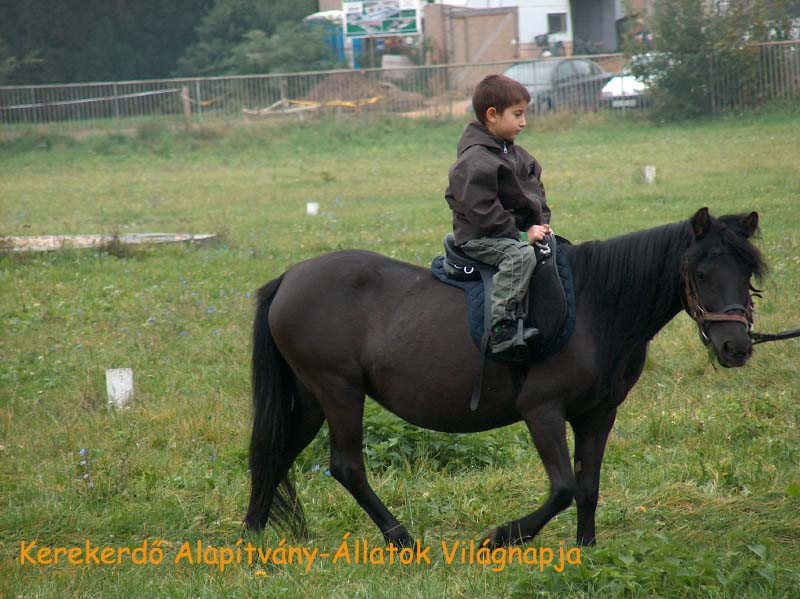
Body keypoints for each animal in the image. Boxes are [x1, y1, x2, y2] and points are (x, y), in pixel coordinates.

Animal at [247, 210, 764, 548]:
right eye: (701, 271)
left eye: (748, 272)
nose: (735, 347)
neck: (594, 307)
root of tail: (290, 277)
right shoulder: (542, 411)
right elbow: (563, 488)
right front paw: (501, 537)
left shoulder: (598, 414)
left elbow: (588, 486)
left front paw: (586, 548)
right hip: (340, 392)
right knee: (347, 467)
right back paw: (401, 538)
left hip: (311, 398)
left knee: (276, 456)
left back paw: (252, 534)